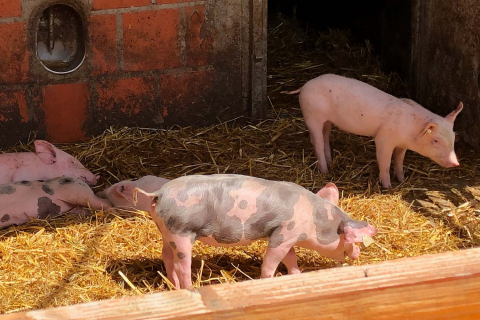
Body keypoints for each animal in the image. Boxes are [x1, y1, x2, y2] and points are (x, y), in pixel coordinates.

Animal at [132, 175, 378, 290]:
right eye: (346, 238)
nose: (357, 254)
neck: (313, 217)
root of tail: (159, 193)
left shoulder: (287, 236)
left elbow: (290, 259)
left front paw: (296, 275)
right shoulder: (284, 233)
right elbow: (271, 260)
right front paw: (266, 281)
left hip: (167, 231)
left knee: (166, 257)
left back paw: (173, 286)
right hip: (181, 232)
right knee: (182, 264)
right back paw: (190, 287)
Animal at [284, 74, 464, 189]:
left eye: (453, 138)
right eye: (436, 140)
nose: (455, 163)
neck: (410, 128)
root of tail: (305, 85)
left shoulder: (402, 144)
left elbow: (399, 160)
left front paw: (402, 180)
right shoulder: (384, 139)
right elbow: (385, 162)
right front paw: (387, 186)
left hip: (327, 120)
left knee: (325, 136)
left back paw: (329, 162)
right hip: (311, 115)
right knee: (317, 141)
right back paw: (325, 170)